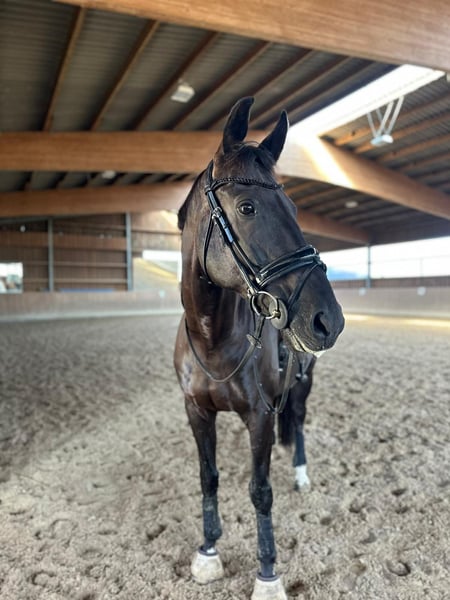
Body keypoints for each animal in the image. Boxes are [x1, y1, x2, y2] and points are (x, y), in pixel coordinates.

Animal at [174, 97, 345, 600]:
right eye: (246, 206)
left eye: (292, 205)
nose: (328, 320)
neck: (214, 341)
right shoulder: (196, 411)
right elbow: (208, 477)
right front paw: (208, 552)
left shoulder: (261, 415)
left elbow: (260, 490)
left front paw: (268, 574)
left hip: (304, 383)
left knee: (300, 421)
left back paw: (301, 472)